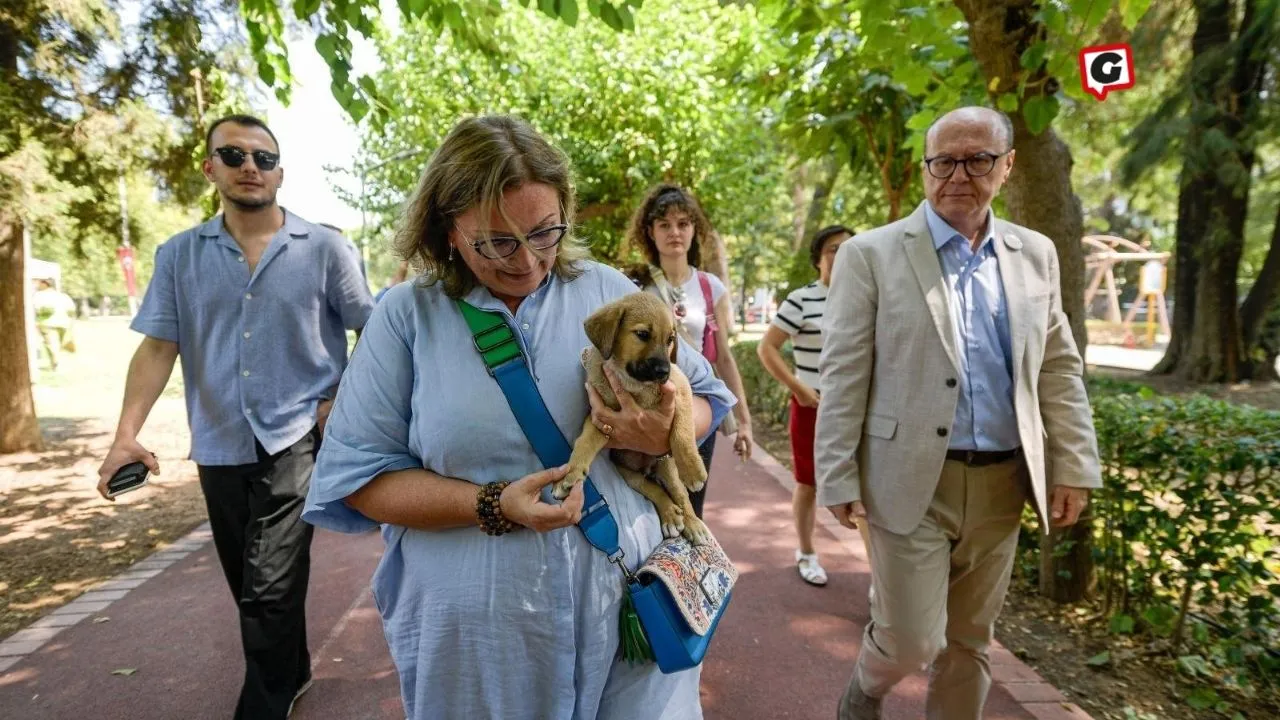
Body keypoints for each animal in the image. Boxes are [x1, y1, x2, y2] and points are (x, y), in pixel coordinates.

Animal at [550, 288, 711, 540]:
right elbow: (585, 443)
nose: (663, 372)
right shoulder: (601, 416)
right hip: (629, 474)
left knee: (680, 494)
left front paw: (692, 469)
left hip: (667, 465)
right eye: (643, 334)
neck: (633, 384)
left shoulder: (680, 387)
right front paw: (570, 474)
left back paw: (692, 522)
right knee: (653, 489)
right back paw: (670, 515)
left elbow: (682, 431)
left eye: (670, 340)